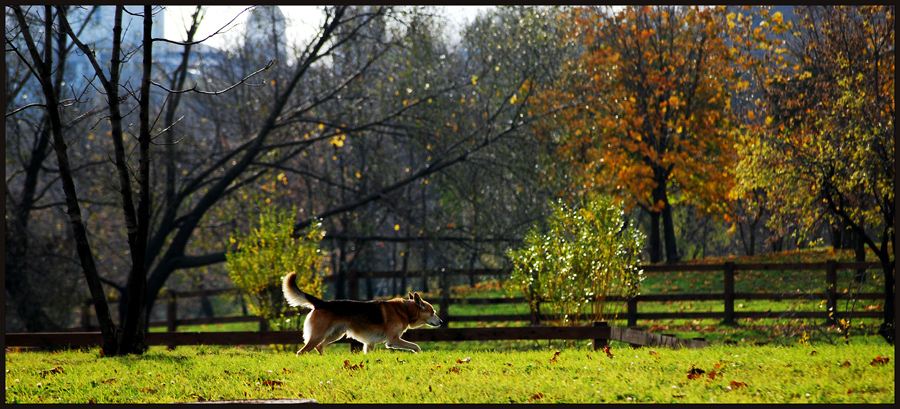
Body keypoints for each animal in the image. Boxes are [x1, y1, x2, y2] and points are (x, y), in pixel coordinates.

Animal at [278, 270, 440, 354]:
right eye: (433, 312)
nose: (442, 321)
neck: (405, 310)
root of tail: (321, 303)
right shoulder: (393, 340)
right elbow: (416, 346)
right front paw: (418, 353)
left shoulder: (370, 343)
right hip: (319, 335)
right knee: (303, 351)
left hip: (335, 334)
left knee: (319, 347)